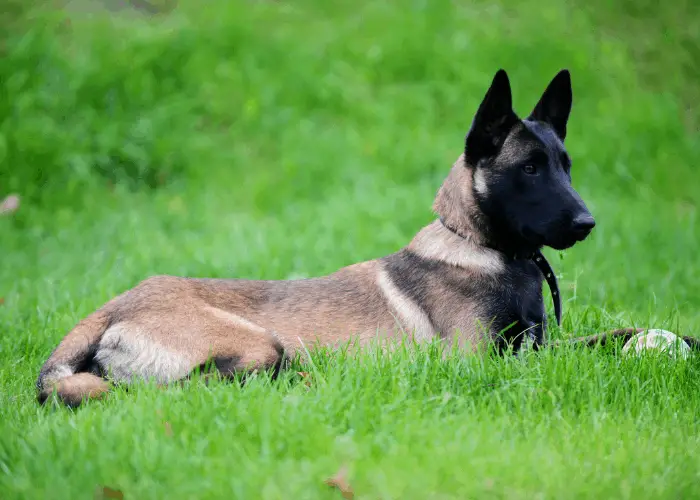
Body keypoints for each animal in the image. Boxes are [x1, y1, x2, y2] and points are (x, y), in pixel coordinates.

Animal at [35, 69, 628, 406]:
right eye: (529, 169)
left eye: (565, 166)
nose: (587, 223)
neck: (480, 249)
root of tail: (115, 306)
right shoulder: (478, 360)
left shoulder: (537, 343)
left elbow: (606, 336)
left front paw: (649, 341)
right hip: (260, 346)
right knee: (181, 392)